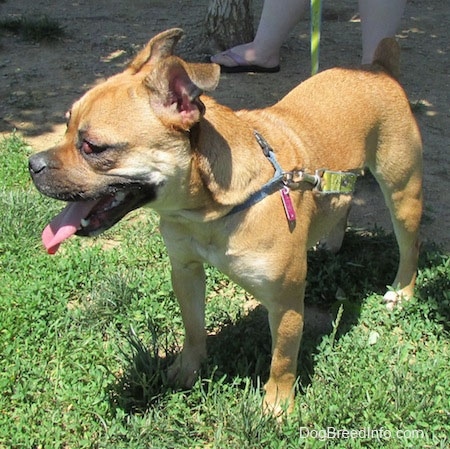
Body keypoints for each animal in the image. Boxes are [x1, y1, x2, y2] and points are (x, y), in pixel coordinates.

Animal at [28, 28, 422, 412]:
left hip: (402, 193)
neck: (210, 212)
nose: (33, 164)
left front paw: (278, 407)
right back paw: (332, 241)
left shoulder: (286, 303)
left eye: (93, 147)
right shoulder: (185, 271)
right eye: (65, 126)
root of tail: (378, 68)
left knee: (409, 247)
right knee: (343, 199)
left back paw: (401, 291)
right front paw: (186, 370)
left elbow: (282, 360)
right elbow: (192, 328)